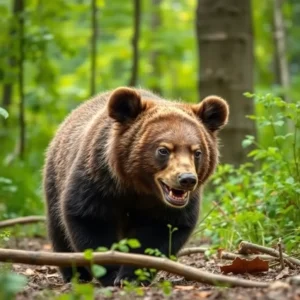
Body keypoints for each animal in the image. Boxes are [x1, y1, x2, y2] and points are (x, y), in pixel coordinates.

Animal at [43, 86, 229, 286]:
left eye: (197, 152)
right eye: (163, 150)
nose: (186, 179)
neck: (139, 188)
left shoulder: (169, 207)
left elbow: (161, 231)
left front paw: (131, 275)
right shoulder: (98, 181)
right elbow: (90, 219)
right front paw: (111, 273)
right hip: (55, 178)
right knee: (58, 228)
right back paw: (74, 274)